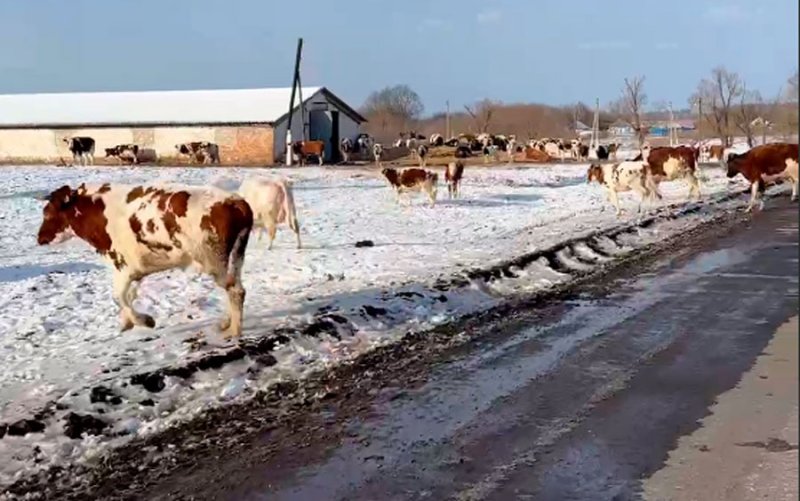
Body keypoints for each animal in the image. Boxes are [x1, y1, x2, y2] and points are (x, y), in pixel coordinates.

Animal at [35, 182, 250, 338]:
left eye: (48, 213)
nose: (39, 238)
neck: (98, 211)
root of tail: (235, 201)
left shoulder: (122, 265)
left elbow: (119, 296)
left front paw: (143, 320)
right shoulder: (137, 270)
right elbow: (129, 296)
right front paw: (127, 322)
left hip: (215, 262)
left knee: (235, 291)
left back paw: (233, 331)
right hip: (236, 257)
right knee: (235, 288)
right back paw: (227, 323)